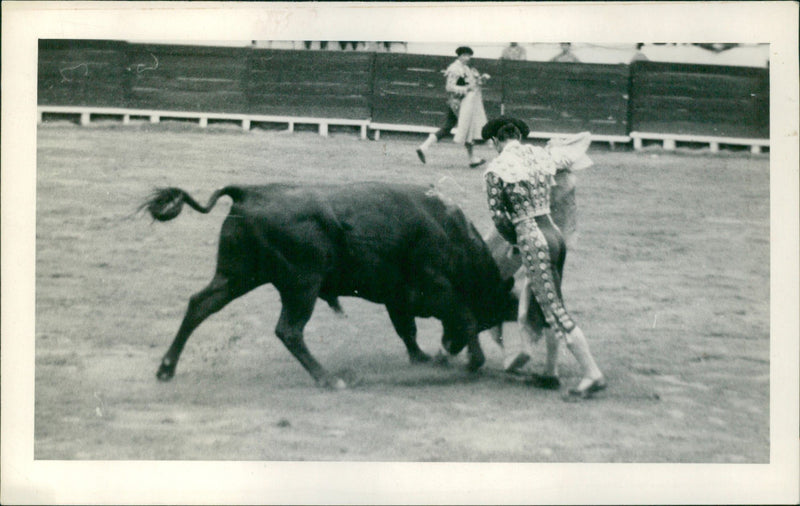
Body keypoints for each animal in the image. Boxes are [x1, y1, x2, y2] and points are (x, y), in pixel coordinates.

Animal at [139, 173, 576, 388]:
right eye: (491, 314)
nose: (448, 347)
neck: (450, 233)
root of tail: (248, 192)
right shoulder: (434, 288)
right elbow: (461, 317)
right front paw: (470, 361)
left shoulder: (398, 298)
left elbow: (407, 330)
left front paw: (423, 357)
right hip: (302, 284)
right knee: (289, 330)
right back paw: (328, 378)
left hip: (237, 274)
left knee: (200, 304)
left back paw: (166, 368)